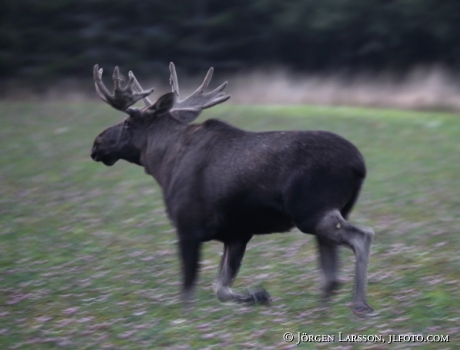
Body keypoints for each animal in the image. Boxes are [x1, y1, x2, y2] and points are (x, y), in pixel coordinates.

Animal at [91, 63, 376, 318]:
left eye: (128, 122)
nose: (97, 144)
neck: (163, 165)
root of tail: (359, 165)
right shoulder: (238, 233)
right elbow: (220, 287)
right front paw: (259, 295)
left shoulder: (187, 226)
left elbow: (188, 292)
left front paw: (185, 323)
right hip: (329, 213)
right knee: (332, 272)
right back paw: (321, 313)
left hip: (311, 211)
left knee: (363, 236)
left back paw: (360, 305)